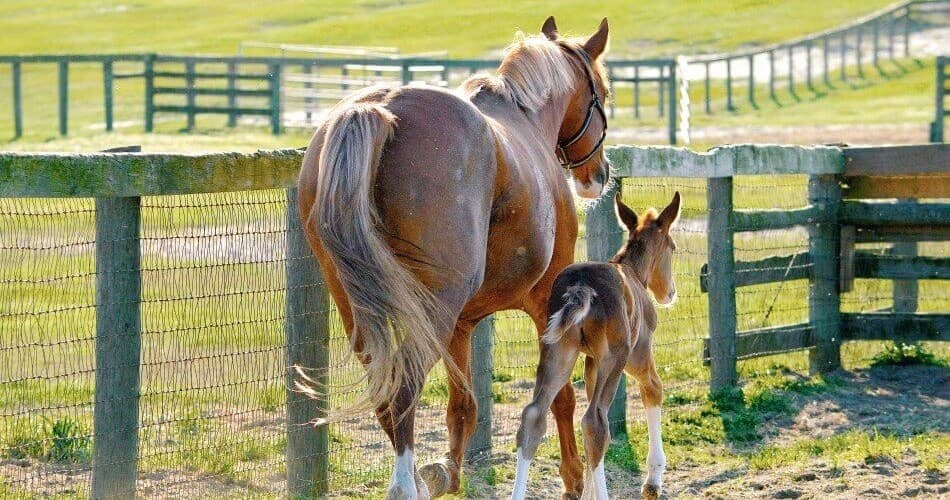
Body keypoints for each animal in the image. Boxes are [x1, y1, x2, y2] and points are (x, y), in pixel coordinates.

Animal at [297, 16, 612, 499]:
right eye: (604, 92)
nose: (599, 174)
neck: (525, 121)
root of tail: (378, 109)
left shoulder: (462, 324)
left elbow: (463, 405)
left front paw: (449, 471)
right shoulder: (546, 299)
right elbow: (560, 396)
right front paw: (574, 478)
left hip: (365, 312)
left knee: (387, 392)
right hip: (434, 309)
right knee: (403, 389)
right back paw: (404, 484)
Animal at [511, 192, 681, 500]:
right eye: (672, 248)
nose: (670, 293)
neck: (634, 271)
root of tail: (581, 288)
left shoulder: (590, 362)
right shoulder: (638, 352)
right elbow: (654, 387)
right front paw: (653, 480)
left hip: (557, 351)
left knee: (534, 415)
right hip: (616, 357)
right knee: (595, 421)